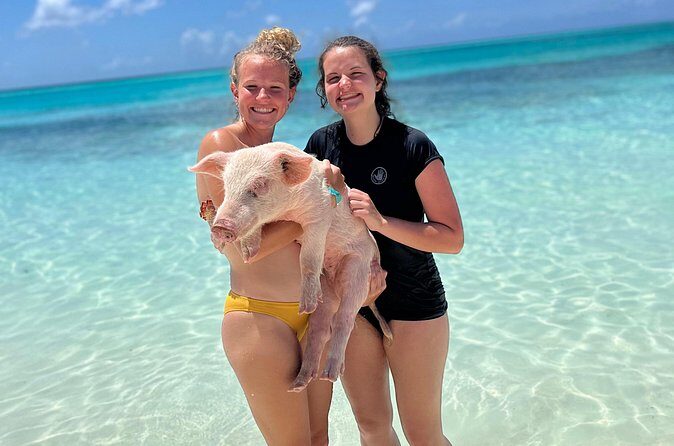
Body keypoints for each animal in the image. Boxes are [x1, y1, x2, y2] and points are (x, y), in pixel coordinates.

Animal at [189, 142, 392, 391]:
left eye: (259, 185)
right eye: (226, 186)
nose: (220, 227)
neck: (287, 212)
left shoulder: (319, 214)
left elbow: (309, 258)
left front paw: (304, 305)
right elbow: (256, 228)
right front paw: (248, 253)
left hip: (357, 269)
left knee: (345, 320)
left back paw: (328, 371)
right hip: (329, 295)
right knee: (319, 330)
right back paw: (298, 382)